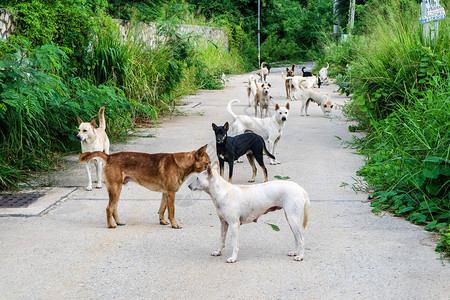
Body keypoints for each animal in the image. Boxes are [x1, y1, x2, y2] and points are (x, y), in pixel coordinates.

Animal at [78, 145, 209, 227]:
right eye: (208, 163)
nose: (211, 170)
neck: (181, 164)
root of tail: (109, 157)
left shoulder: (165, 193)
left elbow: (162, 209)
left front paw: (162, 221)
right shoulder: (171, 193)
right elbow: (171, 211)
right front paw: (174, 224)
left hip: (117, 191)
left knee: (114, 208)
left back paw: (118, 222)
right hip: (115, 190)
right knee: (109, 208)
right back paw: (111, 225)